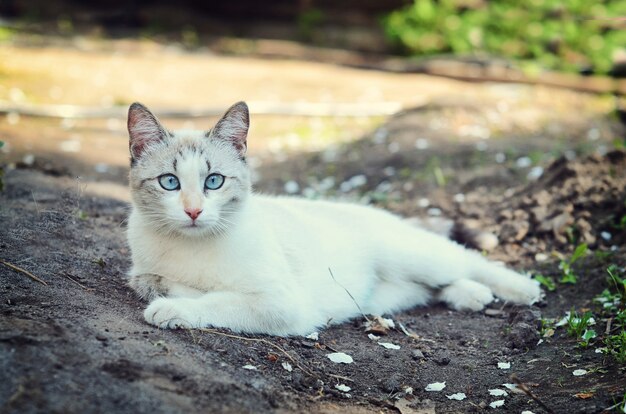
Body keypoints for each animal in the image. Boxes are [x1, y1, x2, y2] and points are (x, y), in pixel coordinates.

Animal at [124, 101, 540, 336]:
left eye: (214, 181)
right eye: (170, 182)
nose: (193, 211)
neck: (191, 247)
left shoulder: (283, 302)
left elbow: (220, 301)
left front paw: (172, 310)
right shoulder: (143, 272)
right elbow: (158, 283)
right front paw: (171, 294)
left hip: (413, 254)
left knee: (464, 258)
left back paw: (522, 288)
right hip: (389, 292)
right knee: (430, 287)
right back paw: (471, 295)